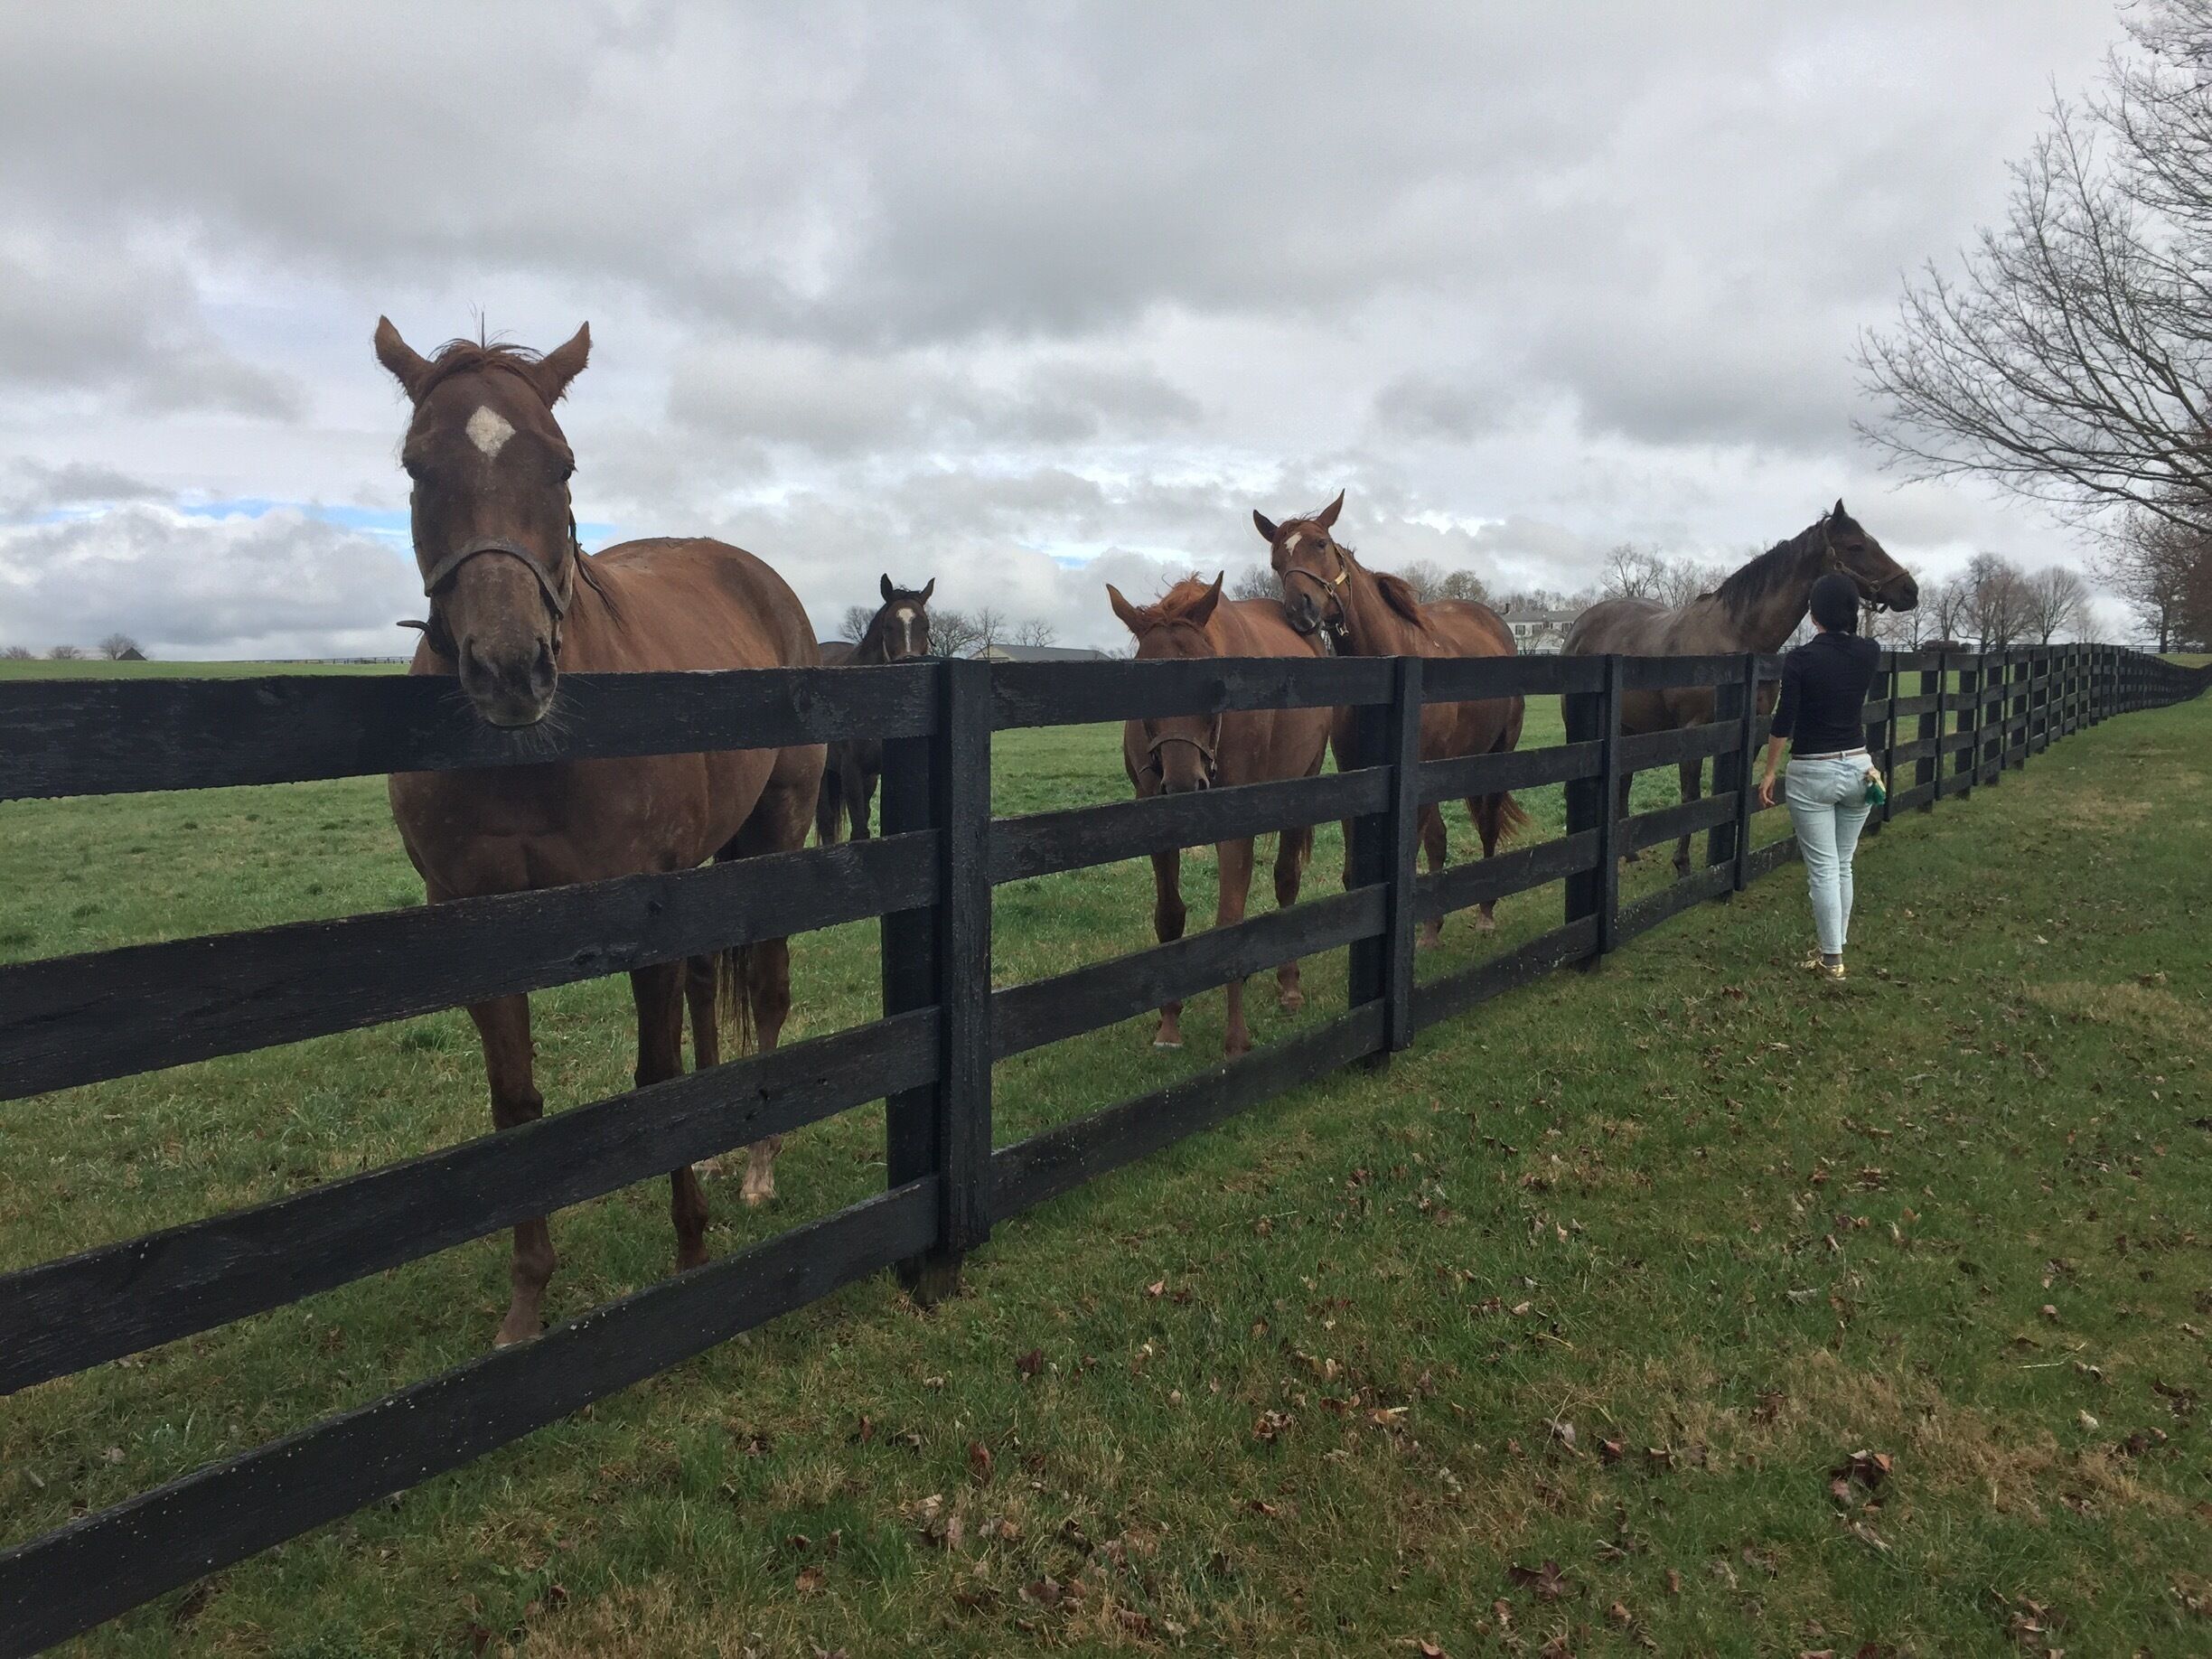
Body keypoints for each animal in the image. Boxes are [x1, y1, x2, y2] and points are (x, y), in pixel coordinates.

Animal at [373, 318, 825, 1348]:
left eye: (563, 463)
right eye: (417, 466)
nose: (511, 669)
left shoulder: (639, 914)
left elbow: (655, 1077)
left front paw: (691, 1249)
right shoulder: (475, 925)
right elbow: (517, 1105)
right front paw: (527, 1301)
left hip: (779, 830)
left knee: (767, 986)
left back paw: (757, 1164)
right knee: (708, 993)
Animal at [1107, 574, 1333, 1056]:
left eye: (1210, 685)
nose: (1183, 784)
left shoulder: (1236, 827)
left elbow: (1230, 919)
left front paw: (1236, 1038)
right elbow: (1169, 915)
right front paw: (1169, 1023)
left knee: (1287, 880)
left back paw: (1289, 984)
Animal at [1258, 491, 1528, 944]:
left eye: (1321, 544)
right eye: (1277, 560)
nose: (1300, 610)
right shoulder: (1356, 775)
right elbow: (1357, 875)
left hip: (1497, 754)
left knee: (1487, 827)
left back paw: (1485, 912)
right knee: (1440, 838)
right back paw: (1433, 927)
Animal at [1560, 500, 1919, 876]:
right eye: (1856, 546)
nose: (1910, 590)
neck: (1737, 638)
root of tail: (1579, 625)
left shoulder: (1755, 731)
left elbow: (1738, 792)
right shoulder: (1694, 732)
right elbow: (1692, 799)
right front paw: (1683, 864)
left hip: (1630, 729)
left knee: (1624, 781)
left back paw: (1628, 853)